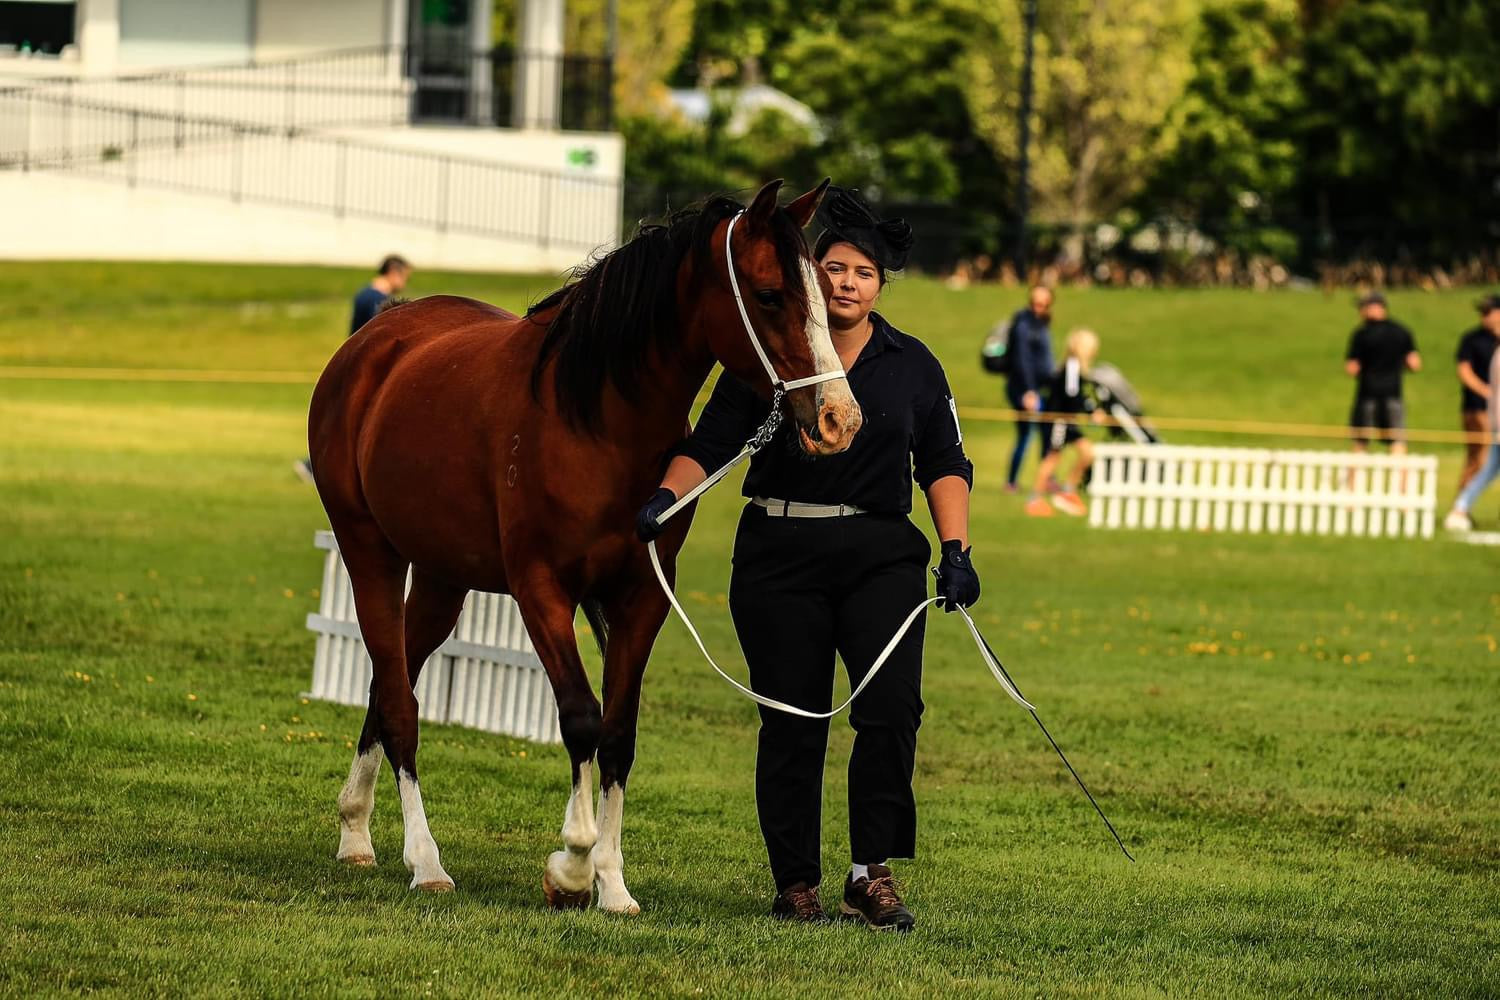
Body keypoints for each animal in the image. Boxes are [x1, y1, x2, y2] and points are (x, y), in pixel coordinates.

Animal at [304, 176, 864, 911]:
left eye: (828, 292)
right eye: (770, 294)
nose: (838, 420)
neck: (598, 418)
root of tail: (373, 341)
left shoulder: (641, 595)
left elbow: (619, 733)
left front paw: (613, 883)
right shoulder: (541, 588)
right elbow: (580, 719)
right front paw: (571, 866)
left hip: (441, 578)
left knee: (389, 681)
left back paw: (356, 831)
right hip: (369, 551)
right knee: (399, 701)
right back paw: (424, 860)